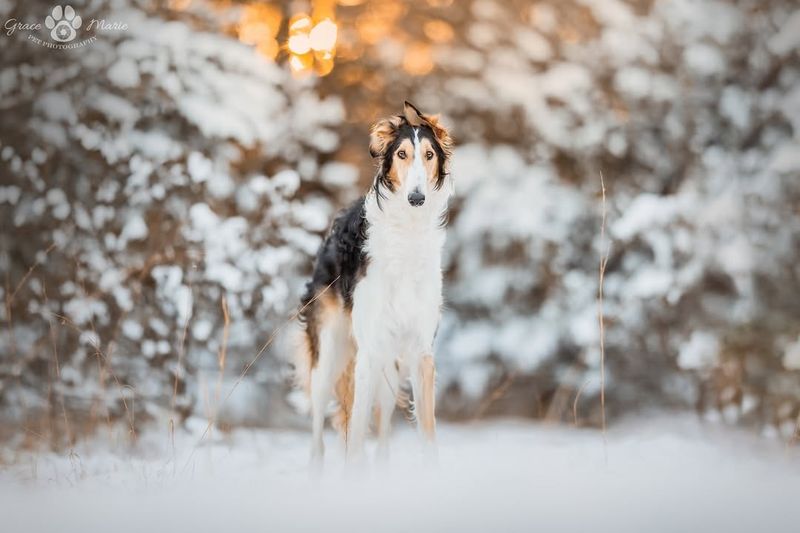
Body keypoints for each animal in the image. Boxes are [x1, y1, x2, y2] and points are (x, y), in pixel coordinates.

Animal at [298, 101, 454, 466]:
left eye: (429, 154)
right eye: (401, 154)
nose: (416, 198)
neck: (407, 231)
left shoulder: (420, 350)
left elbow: (428, 431)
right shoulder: (368, 351)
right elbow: (355, 434)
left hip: (390, 366)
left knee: (381, 433)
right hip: (329, 355)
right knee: (318, 438)